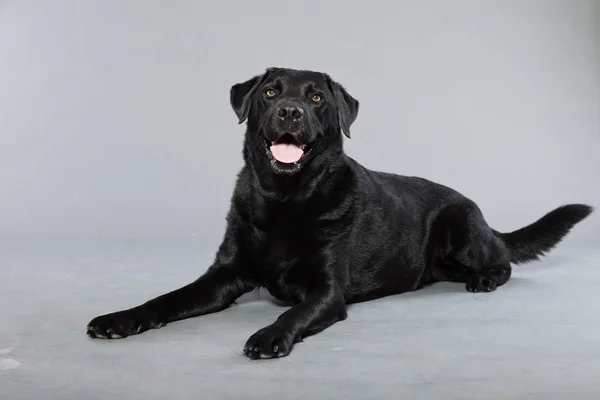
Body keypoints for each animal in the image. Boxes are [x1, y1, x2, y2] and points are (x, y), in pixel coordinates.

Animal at [86, 68, 592, 360]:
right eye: (270, 92)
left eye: (316, 99)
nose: (289, 112)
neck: (284, 201)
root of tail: (481, 216)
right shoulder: (223, 275)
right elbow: (167, 299)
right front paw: (120, 319)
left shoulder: (327, 292)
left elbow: (293, 314)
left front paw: (269, 335)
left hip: (463, 230)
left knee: (504, 260)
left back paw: (485, 279)